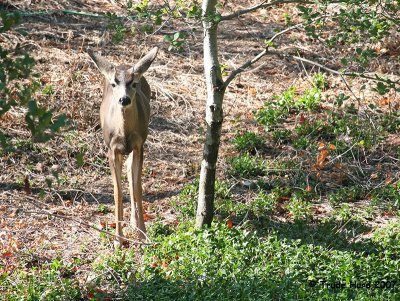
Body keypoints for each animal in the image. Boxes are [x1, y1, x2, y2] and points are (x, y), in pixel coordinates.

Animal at [87, 47, 158, 244]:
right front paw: (118, 238)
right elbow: (117, 191)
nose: (124, 99)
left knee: (131, 174)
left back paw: (135, 224)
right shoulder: (111, 149)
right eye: (114, 84)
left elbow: (137, 187)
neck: (124, 133)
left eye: (133, 83)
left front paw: (142, 234)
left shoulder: (139, 145)